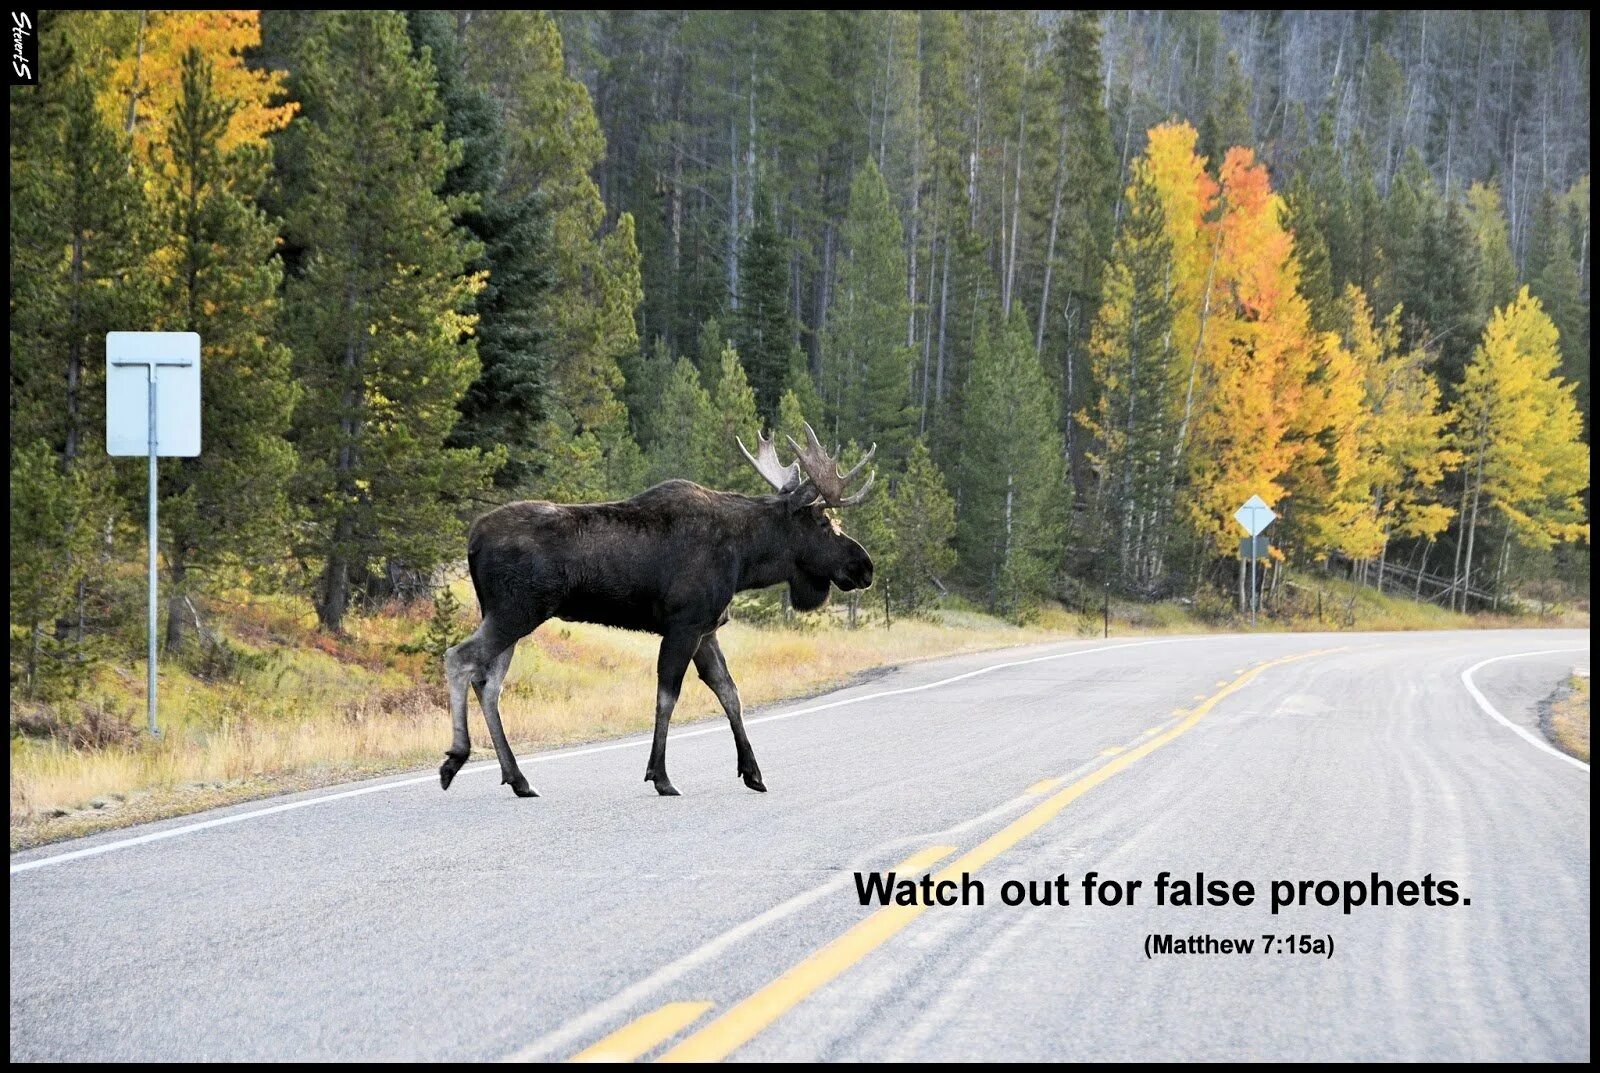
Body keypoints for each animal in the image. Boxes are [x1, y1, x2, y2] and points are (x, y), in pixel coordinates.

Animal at [438, 425, 876, 796]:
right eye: (824, 522)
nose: (865, 566)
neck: (746, 559)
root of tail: (472, 540)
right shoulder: (684, 626)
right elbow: (668, 696)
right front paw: (660, 776)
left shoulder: (707, 629)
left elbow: (729, 692)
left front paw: (752, 772)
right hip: (516, 612)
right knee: (459, 658)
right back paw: (456, 758)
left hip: (506, 617)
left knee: (489, 684)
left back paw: (517, 778)